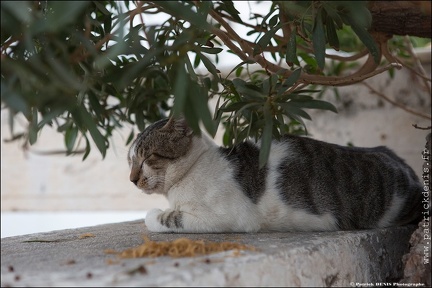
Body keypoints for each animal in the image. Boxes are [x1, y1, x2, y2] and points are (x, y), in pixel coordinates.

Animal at [127, 117, 422, 232]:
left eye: (147, 158)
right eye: (131, 161)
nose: (131, 179)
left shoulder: (223, 217)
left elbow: (163, 218)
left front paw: (154, 214)